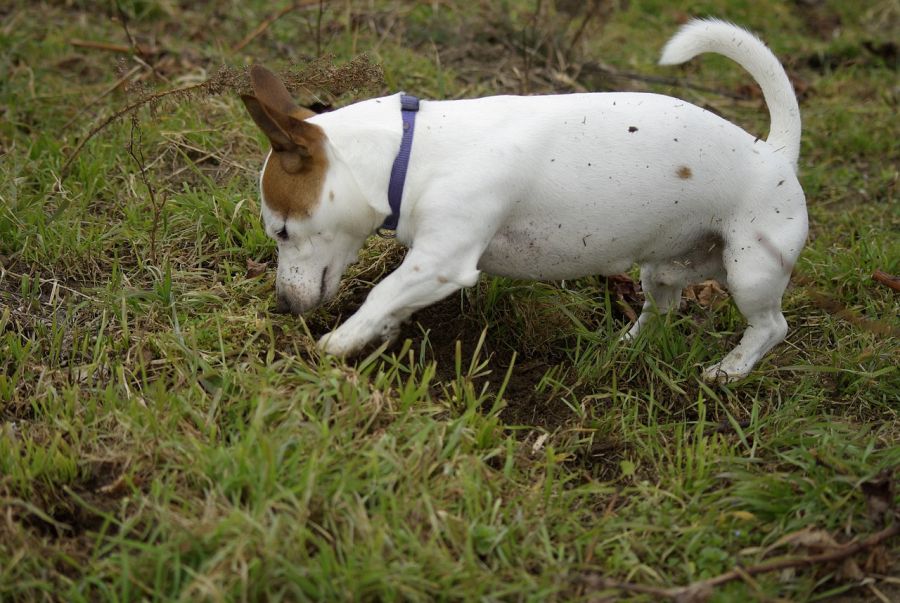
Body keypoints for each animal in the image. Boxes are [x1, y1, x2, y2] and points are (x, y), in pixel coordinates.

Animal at [241, 22, 808, 386]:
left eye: (282, 231)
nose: (282, 305)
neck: (409, 150)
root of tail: (774, 152)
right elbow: (391, 301)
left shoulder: (441, 262)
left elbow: (383, 292)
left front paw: (334, 344)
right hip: (668, 267)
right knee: (663, 307)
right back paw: (628, 343)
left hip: (751, 269)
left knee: (771, 327)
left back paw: (730, 370)